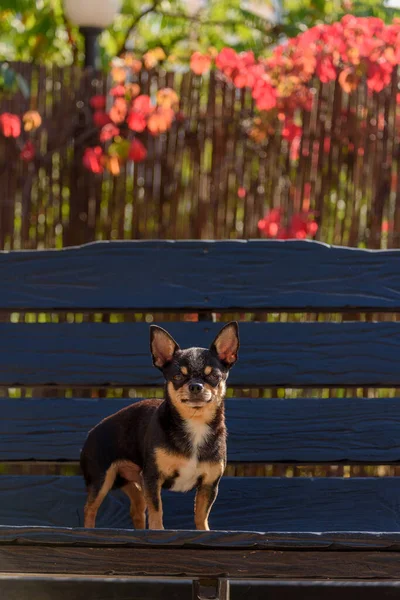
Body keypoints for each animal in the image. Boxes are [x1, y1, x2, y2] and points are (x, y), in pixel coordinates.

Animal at [79, 324, 239, 528]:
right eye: (177, 376)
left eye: (213, 376)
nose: (195, 386)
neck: (195, 424)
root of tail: (91, 433)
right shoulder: (152, 478)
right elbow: (156, 510)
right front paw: (158, 530)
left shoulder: (209, 484)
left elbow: (201, 515)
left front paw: (203, 530)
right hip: (101, 479)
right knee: (90, 509)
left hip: (130, 481)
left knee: (137, 509)